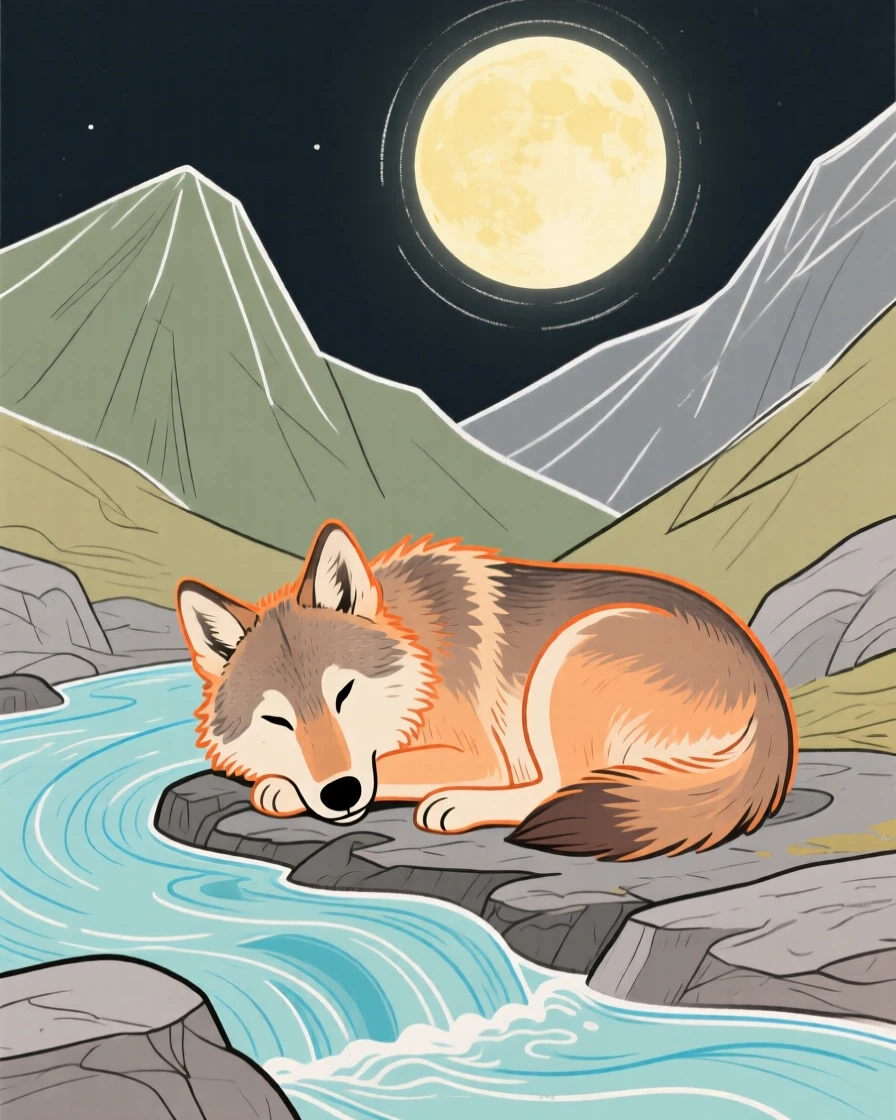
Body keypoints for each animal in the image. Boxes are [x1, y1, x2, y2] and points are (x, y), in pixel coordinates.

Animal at [175, 519, 797, 860]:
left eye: (343, 695)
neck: (422, 651)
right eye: (278, 721)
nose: (340, 793)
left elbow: (391, 767)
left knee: (553, 786)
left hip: (567, 660)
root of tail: (773, 701)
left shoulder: (480, 754)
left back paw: (456, 805)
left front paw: (282, 788)